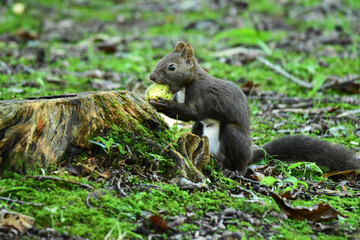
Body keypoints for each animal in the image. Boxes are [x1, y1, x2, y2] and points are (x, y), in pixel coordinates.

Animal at [148, 41, 358, 174]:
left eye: (172, 67)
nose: (151, 77)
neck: (187, 84)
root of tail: (249, 154)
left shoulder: (202, 94)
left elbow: (193, 112)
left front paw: (161, 103)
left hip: (233, 135)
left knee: (240, 163)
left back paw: (235, 172)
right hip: (198, 130)